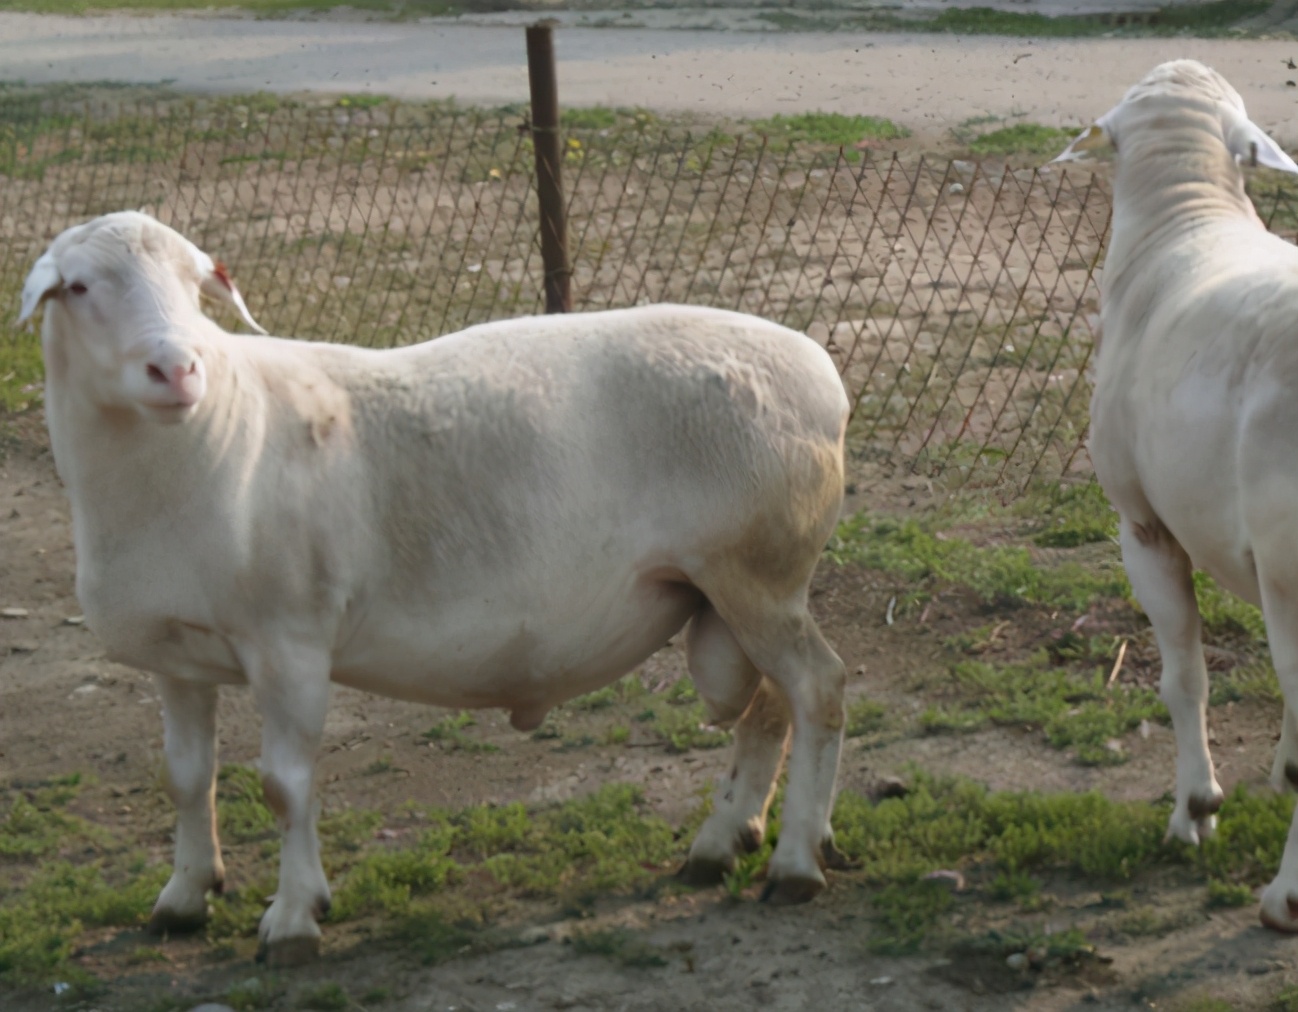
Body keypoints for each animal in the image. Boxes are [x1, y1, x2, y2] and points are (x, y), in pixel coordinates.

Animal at [20, 211, 856, 965]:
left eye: (196, 287)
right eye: (80, 287)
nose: (178, 370)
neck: (216, 435)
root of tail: (822, 372)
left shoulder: (290, 642)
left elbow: (284, 786)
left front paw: (292, 919)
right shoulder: (179, 657)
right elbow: (187, 778)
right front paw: (184, 897)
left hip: (757, 570)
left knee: (816, 689)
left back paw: (793, 865)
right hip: (740, 590)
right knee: (768, 706)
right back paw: (725, 843)